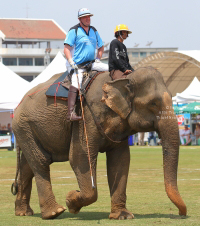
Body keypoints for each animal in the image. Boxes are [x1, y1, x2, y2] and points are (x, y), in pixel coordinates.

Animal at [11, 66, 186, 219]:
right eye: (153, 103)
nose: (181, 214)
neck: (123, 79)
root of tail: (19, 103)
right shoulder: (86, 117)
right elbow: (80, 157)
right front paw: (71, 200)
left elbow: (120, 160)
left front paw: (122, 216)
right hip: (24, 125)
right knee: (40, 162)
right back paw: (54, 213)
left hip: (26, 130)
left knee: (28, 165)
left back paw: (23, 213)